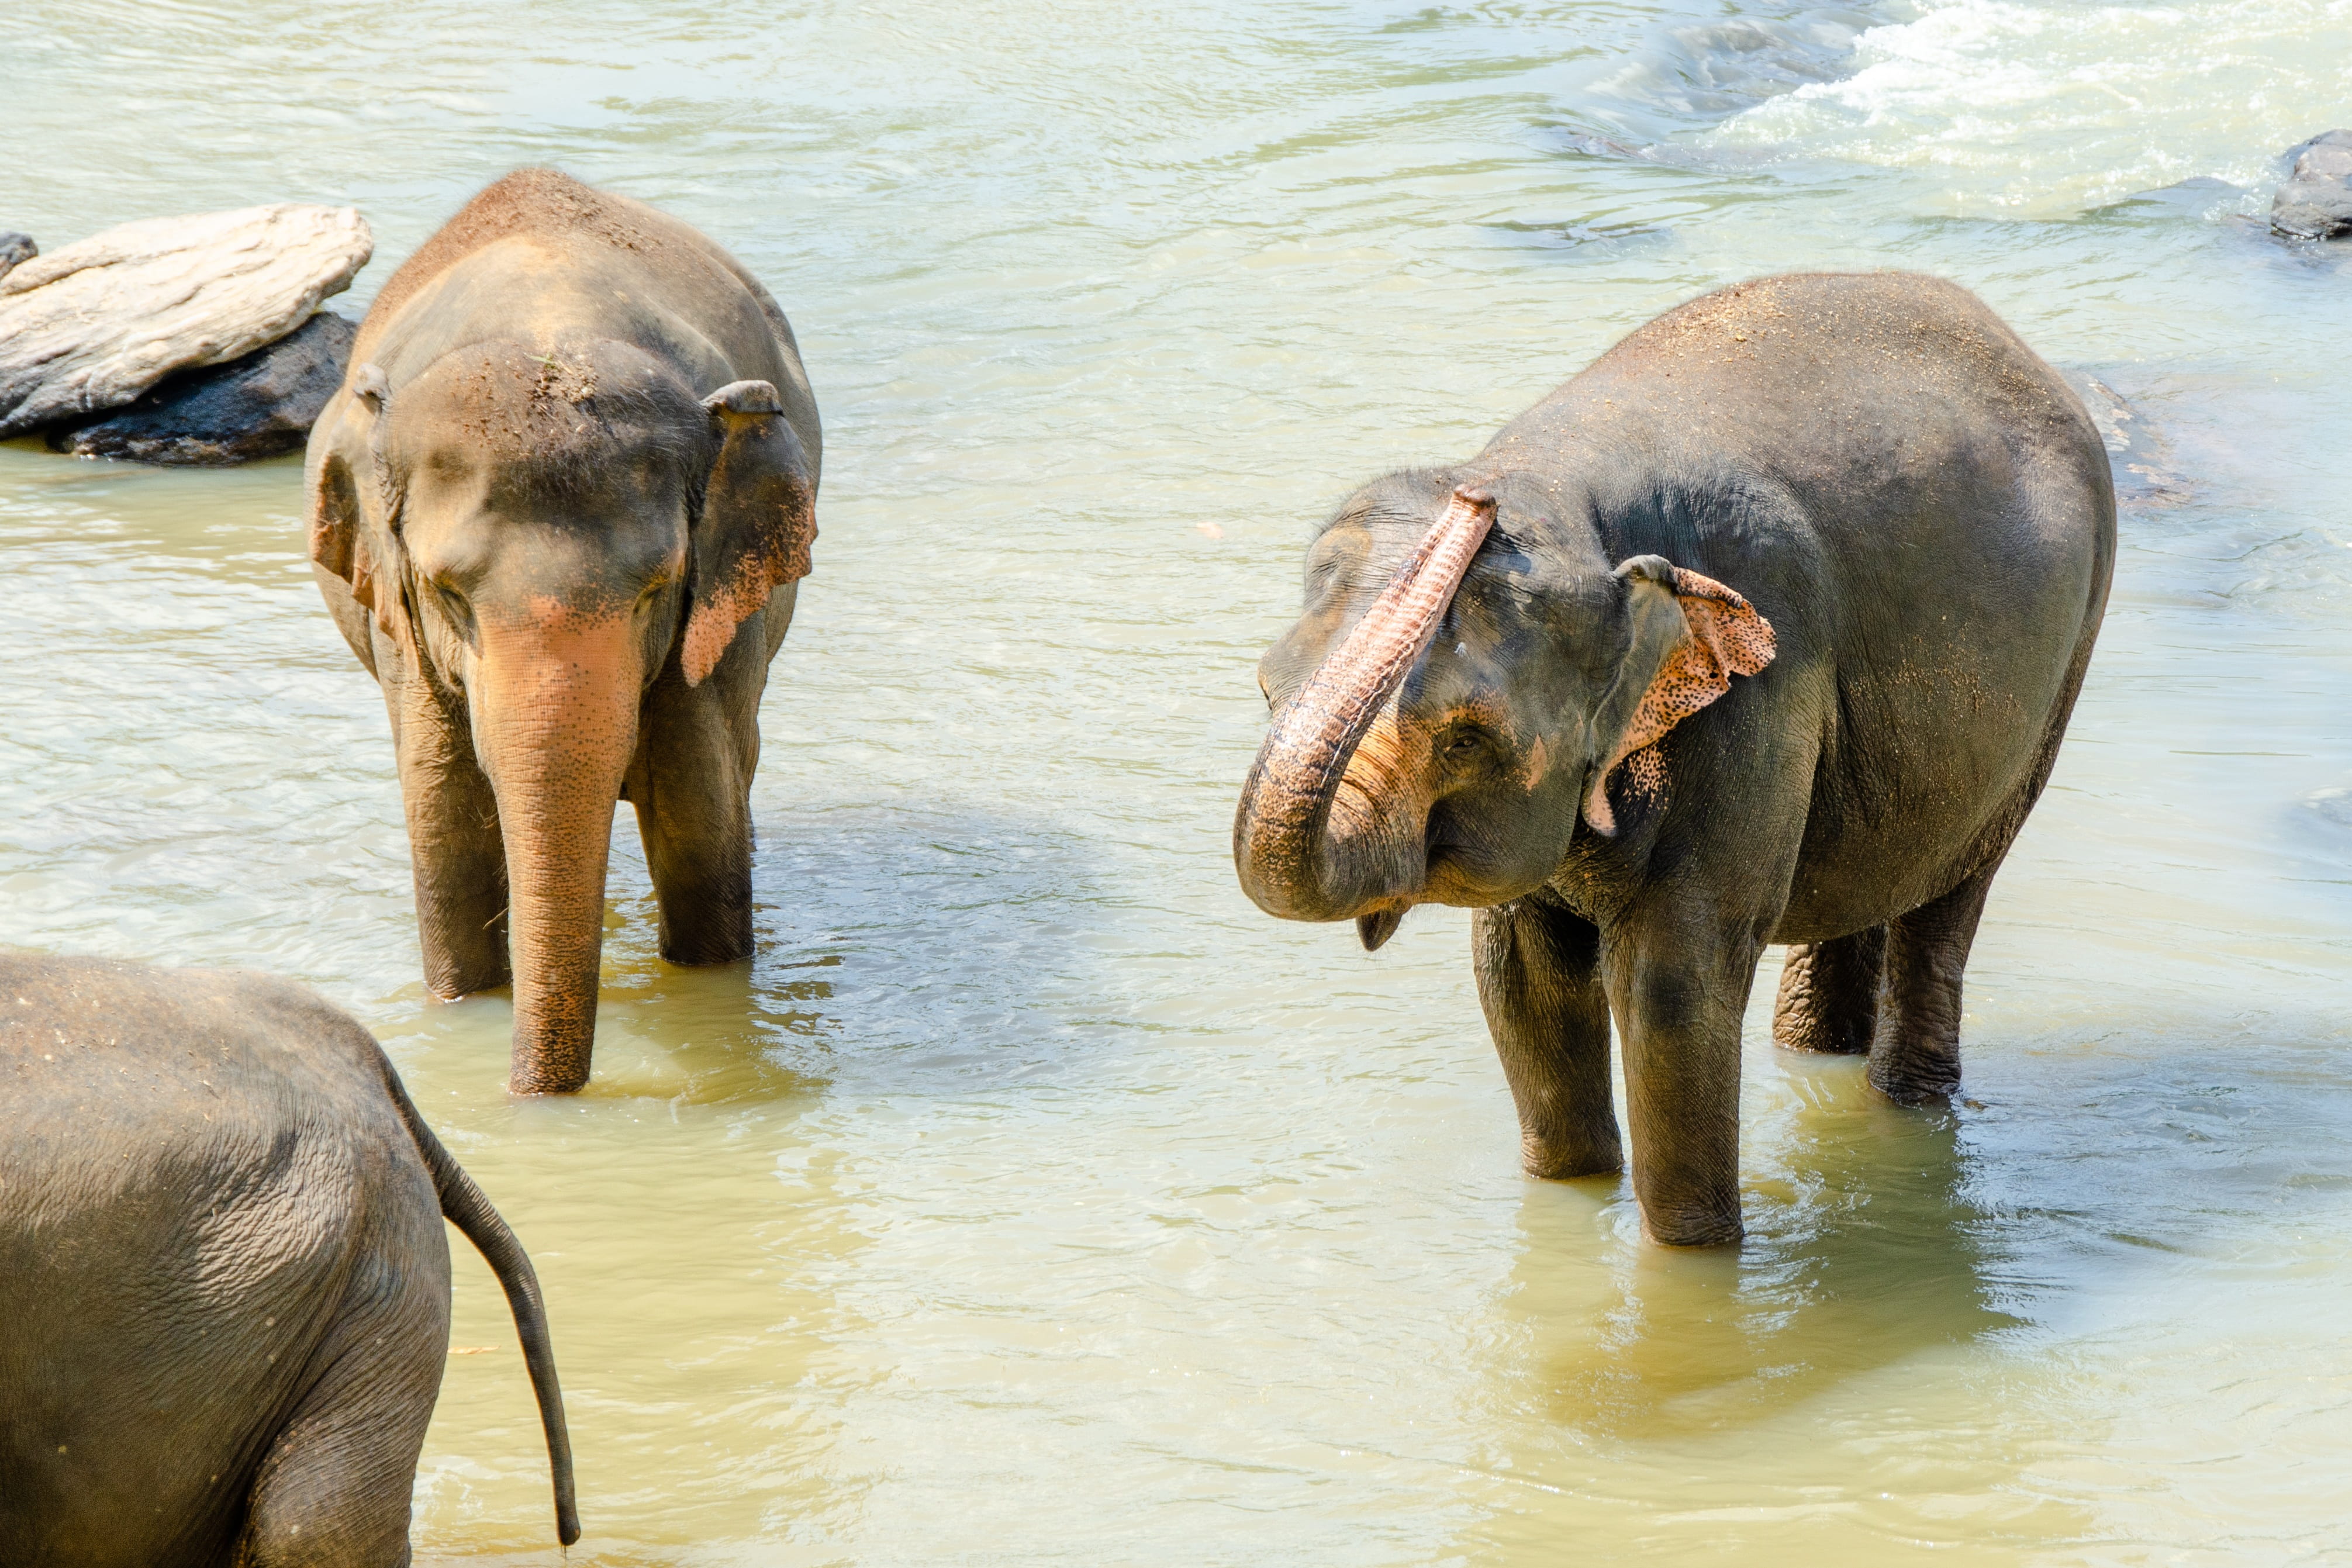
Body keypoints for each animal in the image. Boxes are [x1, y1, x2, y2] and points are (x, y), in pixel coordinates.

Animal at [305, 168, 821, 1094]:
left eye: (655, 591)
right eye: (448, 595)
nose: (525, 1099)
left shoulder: (711, 636)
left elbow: (701, 833)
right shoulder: (401, 633)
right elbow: (445, 837)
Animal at [1233, 272, 2114, 1246]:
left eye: (1464, 737)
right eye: (1268, 693)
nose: (1470, 501)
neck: (1556, 485)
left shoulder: (1761, 693)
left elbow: (1673, 987)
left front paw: (1693, 1252)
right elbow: (1519, 981)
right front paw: (1570, 1188)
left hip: (2058, 673)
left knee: (1946, 899)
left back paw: (1906, 1101)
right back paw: (1814, 1052)